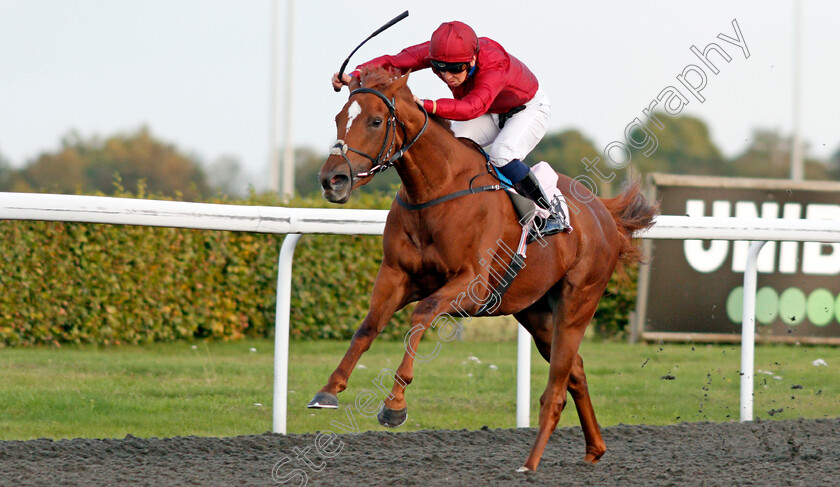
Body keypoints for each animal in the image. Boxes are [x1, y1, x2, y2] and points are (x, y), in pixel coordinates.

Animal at [314, 68, 656, 472]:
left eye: (376, 121)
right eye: (339, 118)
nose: (332, 180)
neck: (437, 188)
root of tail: (604, 213)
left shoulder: (472, 288)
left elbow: (422, 313)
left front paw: (395, 404)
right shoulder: (396, 275)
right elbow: (367, 328)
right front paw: (329, 390)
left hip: (577, 304)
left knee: (556, 389)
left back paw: (530, 463)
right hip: (537, 313)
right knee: (576, 372)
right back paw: (594, 449)